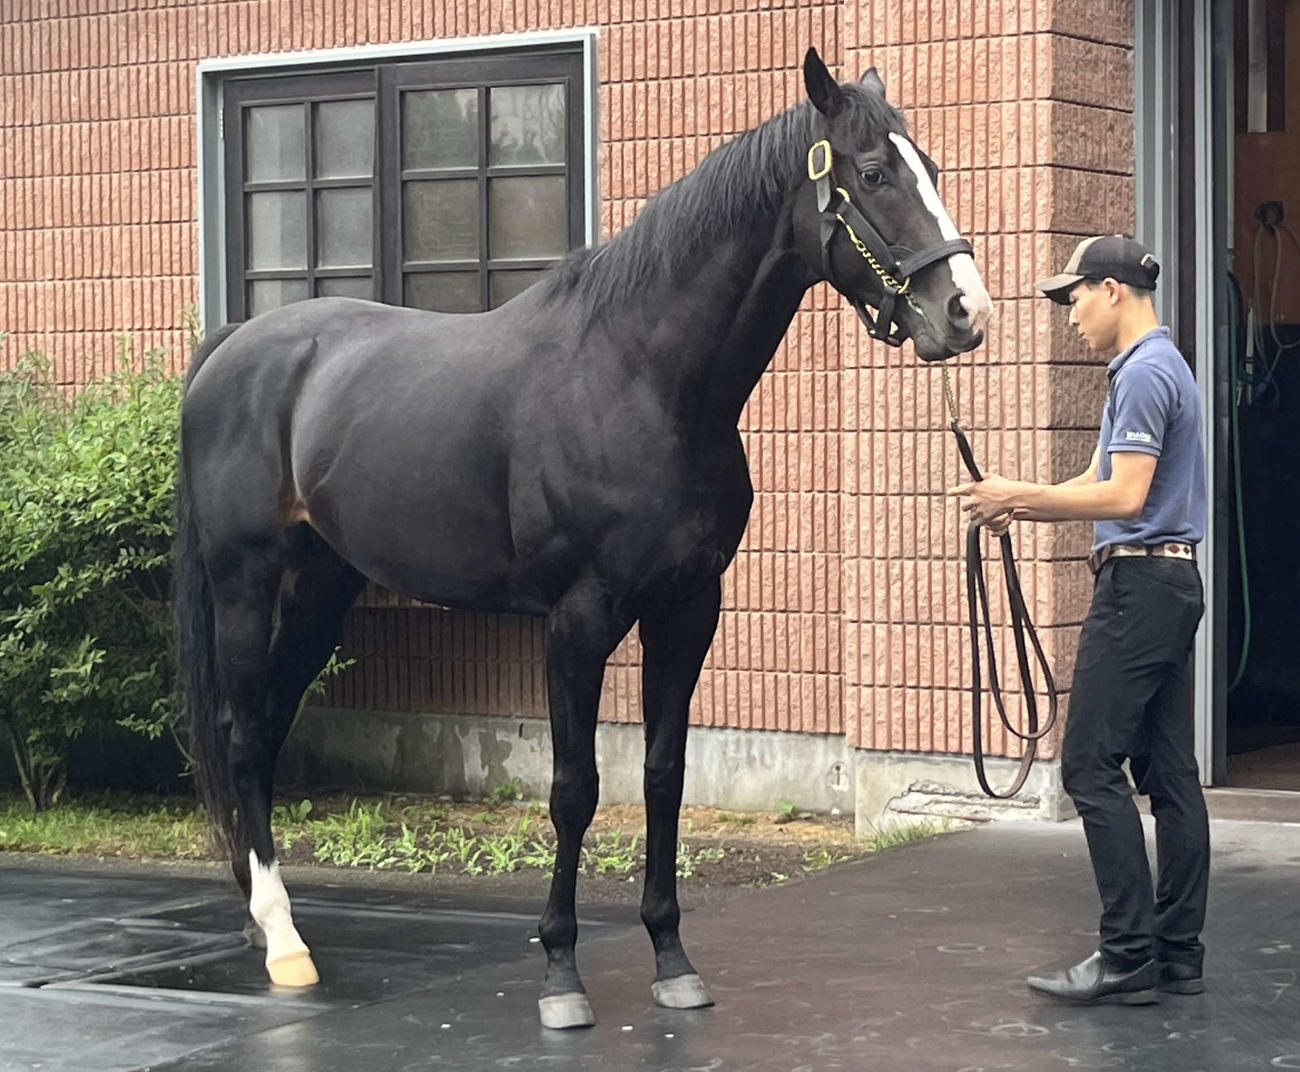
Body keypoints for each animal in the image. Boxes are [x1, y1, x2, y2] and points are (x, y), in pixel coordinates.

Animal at [174, 46, 991, 1030]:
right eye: (873, 174)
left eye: (933, 168)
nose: (967, 312)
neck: (640, 380)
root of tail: (232, 346)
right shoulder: (579, 619)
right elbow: (575, 791)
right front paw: (560, 974)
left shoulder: (689, 609)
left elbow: (664, 776)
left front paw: (673, 959)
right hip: (247, 581)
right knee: (242, 735)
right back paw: (284, 941)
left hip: (323, 587)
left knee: (265, 728)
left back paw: (264, 919)